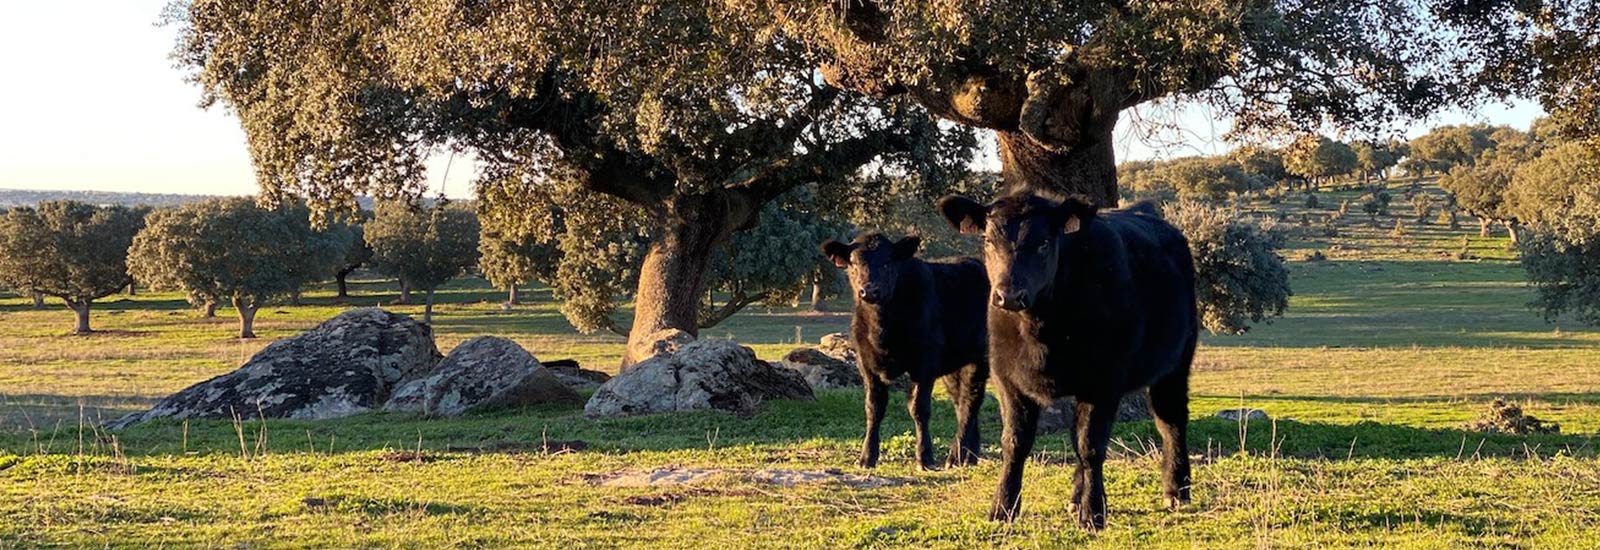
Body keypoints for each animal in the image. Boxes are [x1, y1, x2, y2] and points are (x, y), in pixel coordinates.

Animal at [825, 233, 985, 470]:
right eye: (853, 263)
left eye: (887, 262)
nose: (869, 290)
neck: (883, 331)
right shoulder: (867, 364)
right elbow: (874, 408)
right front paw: (867, 457)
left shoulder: (924, 364)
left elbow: (919, 408)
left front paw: (924, 457)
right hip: (953, 366)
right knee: (961, 402)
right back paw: (968, 457)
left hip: (979, 360)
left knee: (969, 403)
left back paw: (955, 457)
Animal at [934, 192, 1203, 527]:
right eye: (987, 240)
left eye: (1044, 243)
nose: (1009, 295)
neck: (1040, 333)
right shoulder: (1007, 378)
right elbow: (1015, 442)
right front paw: (1003, 506)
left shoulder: (1104, 380)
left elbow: (1091, 446)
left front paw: (1094, 512)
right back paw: (1076, 497)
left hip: (1176, 363)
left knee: (1171, 420)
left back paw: (1176, 489)